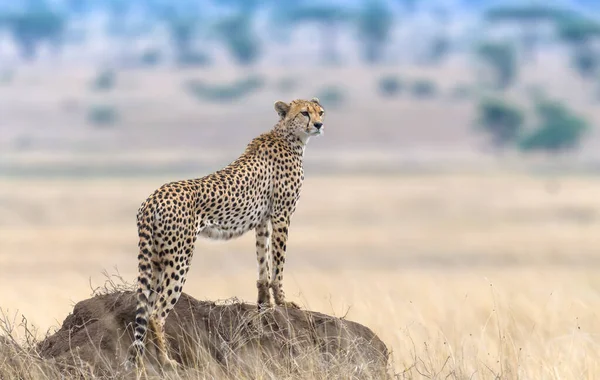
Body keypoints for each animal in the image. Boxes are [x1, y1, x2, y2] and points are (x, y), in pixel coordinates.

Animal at [123, 97, 326, 368]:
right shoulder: (282, 215)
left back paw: (149, 359)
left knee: (145, 308)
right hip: (179, 258)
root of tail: (152, 198)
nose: (319, 124)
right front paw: (283, 301)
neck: (289, 136)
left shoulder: (262, 221)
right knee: (156, 312)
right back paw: (167, 360)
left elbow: (263, 262)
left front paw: (265, 304)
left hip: (155, 258)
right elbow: (278, 263)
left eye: (320, 112)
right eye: (304, 113)